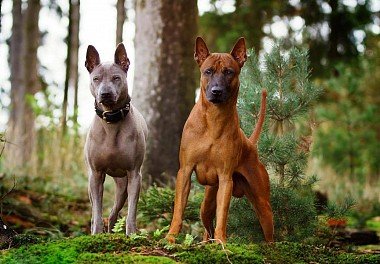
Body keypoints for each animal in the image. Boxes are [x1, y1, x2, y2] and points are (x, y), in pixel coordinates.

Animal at [84, 43, 147, 235]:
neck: (111, 120)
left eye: (116, 78)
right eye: (96, 78)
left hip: (122, 186)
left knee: (114, 212)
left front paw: (132, 234)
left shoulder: (134, 174)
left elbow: (132, 211)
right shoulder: (96, 174)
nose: (105, 93)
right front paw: (96, 234)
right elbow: (97, 211)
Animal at [166, 37, 274, 243]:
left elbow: (223, 215)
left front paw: (222, 242)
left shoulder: (225, 179)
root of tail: (250, 144)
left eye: (229, 72)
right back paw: (204, 242)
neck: (213, 120)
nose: (216, 91)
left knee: (268, 231)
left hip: (263, 204)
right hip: (206, 204)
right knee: (206, 225)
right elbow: (178, 211)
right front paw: (170, 237)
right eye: (208, 71)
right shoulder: (185, 171)